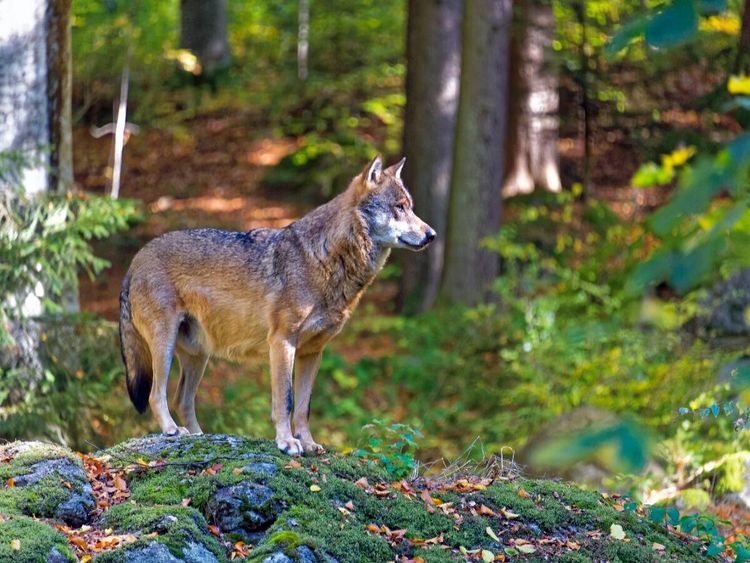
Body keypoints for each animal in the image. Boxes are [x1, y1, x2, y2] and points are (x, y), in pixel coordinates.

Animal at [119, 156, 435, 454]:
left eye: (410, 207)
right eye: (399, 207)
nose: (431, 234)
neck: (325, 258)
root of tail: (135, 260)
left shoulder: (313, 352)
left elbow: (304, 407)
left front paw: (308, 443)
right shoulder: (282, 342)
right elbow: (286, 400)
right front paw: (287, 442)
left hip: (199, 356)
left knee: (182, 399)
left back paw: (199, 436)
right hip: (165, 345)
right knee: (156, 395)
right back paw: (172, 430)